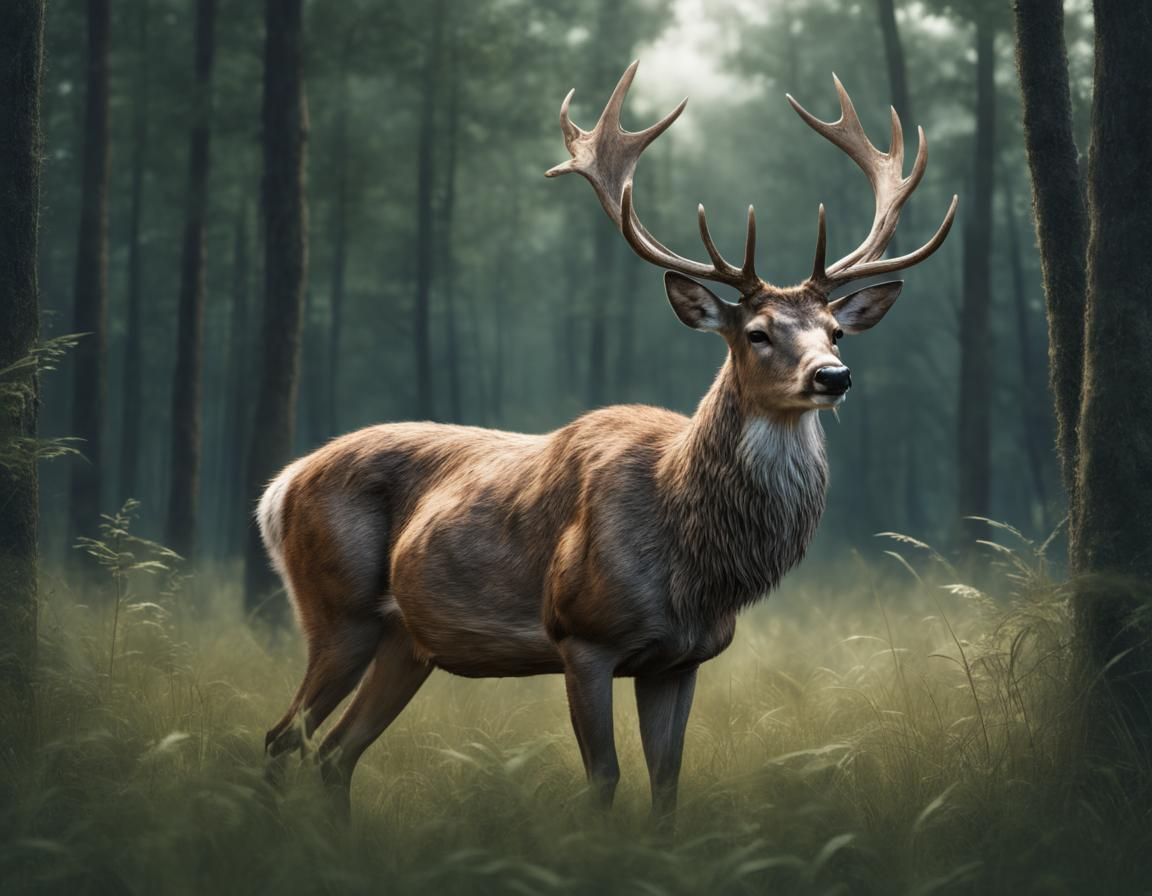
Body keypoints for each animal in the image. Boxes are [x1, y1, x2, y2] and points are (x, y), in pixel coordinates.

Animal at [258, 61, 957, 823]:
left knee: (334, 752)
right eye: (757, 333)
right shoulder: (581, 635)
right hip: (338, 610)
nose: (833, 375)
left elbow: (667, 783)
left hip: (406, 641)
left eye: (834, 332)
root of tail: (280, 487)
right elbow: (603, 779)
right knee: (282, 737)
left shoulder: (680, 659)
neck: (695, 563)